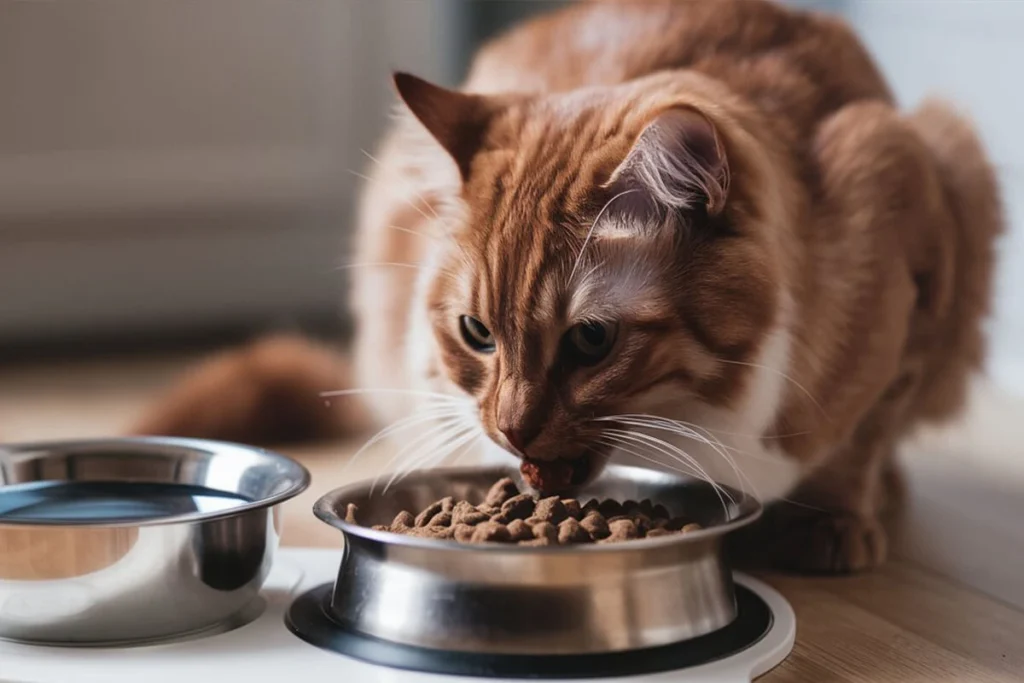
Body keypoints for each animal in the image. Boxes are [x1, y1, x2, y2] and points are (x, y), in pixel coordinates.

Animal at [130, 0, 999, 573]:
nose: (511, 430)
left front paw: (840, 516)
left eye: (591, 339)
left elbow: (862, 435)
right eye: (476, 332)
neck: (705, 416)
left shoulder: (915, 205)